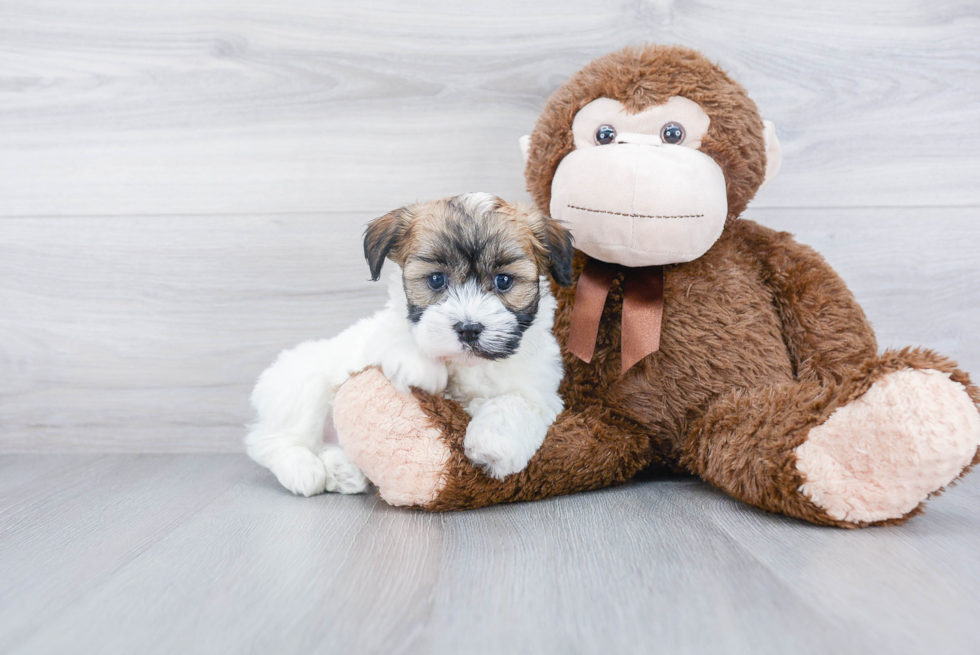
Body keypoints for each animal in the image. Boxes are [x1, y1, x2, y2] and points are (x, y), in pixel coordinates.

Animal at [242, 193, 576, 498]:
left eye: (503, 281)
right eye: (436, 279)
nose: (468, 329)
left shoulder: (538, 387)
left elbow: (515, 403)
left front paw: (493, 446)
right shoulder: (379, 336)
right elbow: (399, 334)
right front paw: (420, 367)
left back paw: (343, 471)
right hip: (301, 385)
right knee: (268, 439)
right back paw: (304, 469)